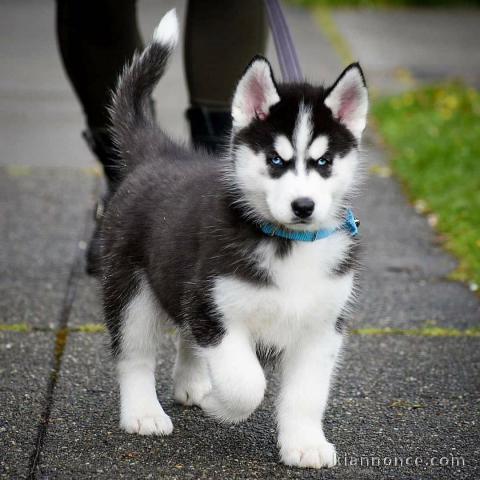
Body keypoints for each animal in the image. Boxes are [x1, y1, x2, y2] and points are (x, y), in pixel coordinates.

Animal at [102, 10, 368, 468]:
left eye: (324, 162)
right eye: (276, 160)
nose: (303, 206)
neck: (289, 245)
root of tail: (160, 154)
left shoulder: (322, 327)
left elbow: (306, 396)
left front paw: (304, 444)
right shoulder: (216, 310)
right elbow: (248, 384)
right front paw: (221, 407)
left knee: (185, 337)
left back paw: (191, 384)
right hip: (131, 288)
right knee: (134, 353)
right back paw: (143, 412)